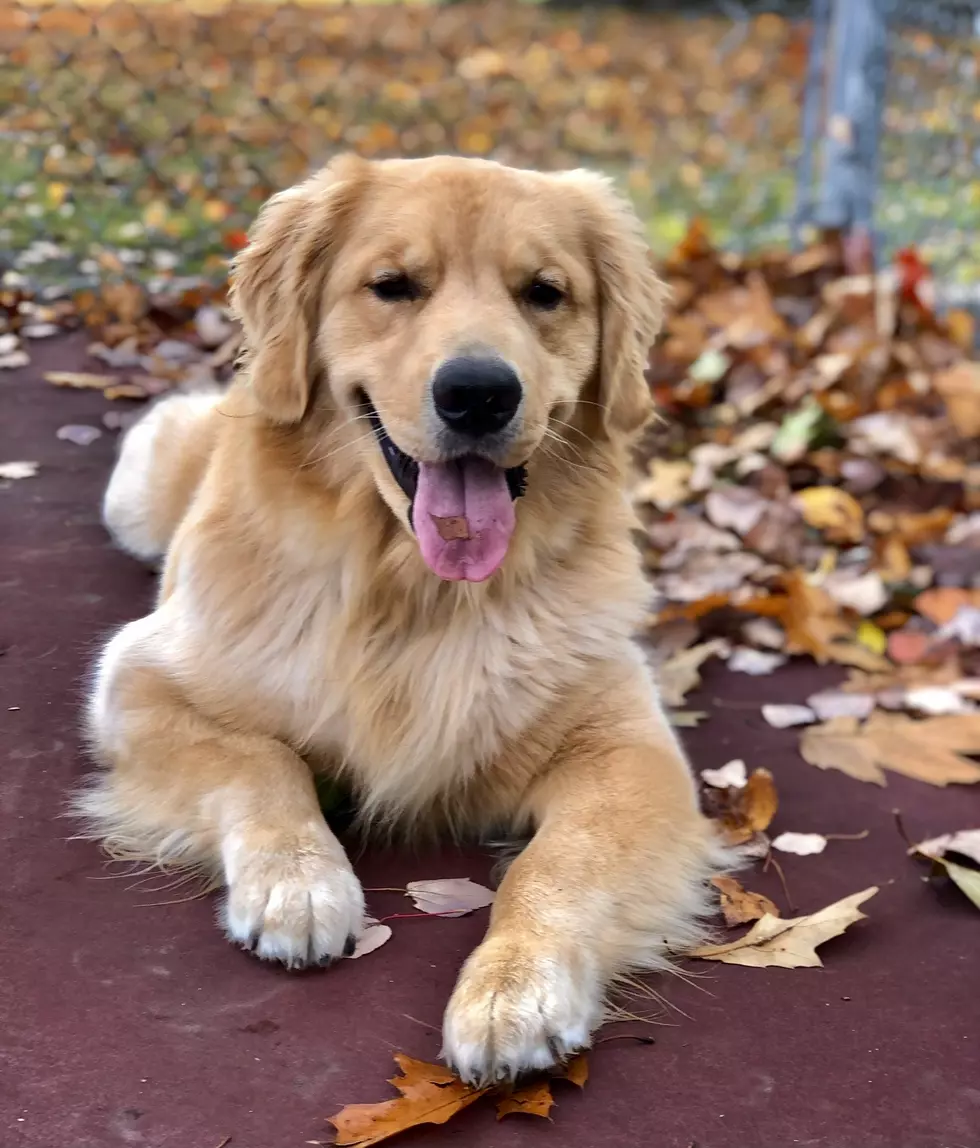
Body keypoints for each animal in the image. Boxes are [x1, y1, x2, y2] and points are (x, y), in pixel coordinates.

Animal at [82, 154, 729, 1083]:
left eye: (545, 293)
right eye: (391, 286)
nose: (479, 394)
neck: (414, 593)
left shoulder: (629, 751)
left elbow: (559, 862)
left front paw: (514, 986)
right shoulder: (141, 679)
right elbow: (259, 762)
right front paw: (300, 881)